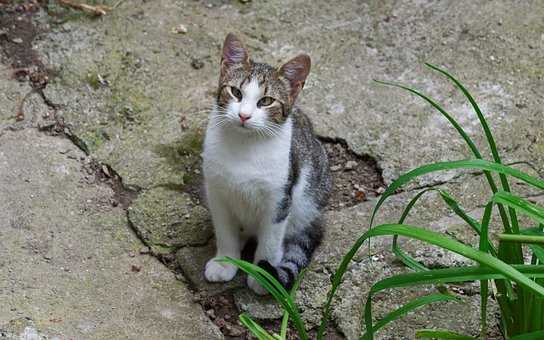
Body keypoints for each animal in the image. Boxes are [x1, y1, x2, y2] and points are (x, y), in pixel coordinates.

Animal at [203, 32, 334, 294]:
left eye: (266, 101)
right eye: (235, 92)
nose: (243, 115)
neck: (244, 146)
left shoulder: (279, 199)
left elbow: (270, 242)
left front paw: (263, 276)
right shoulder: (217, 192)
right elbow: (225, 231)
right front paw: (225, 262)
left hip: (309, 202)